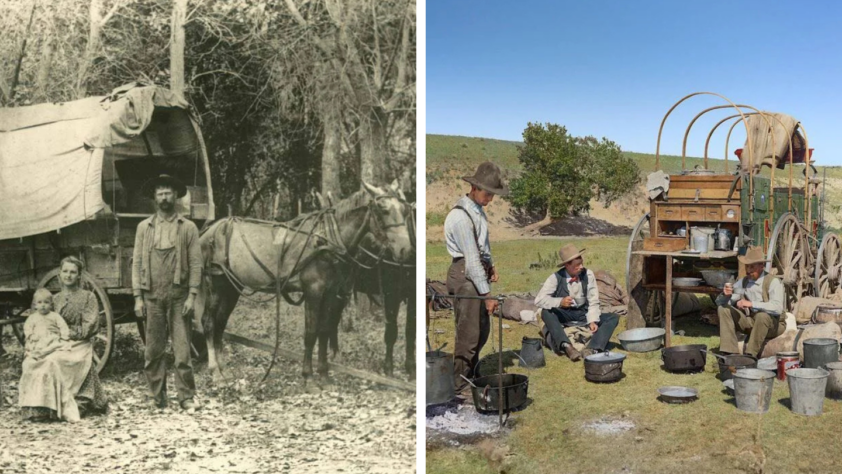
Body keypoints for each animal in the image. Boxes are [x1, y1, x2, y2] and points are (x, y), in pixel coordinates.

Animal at [194, 181, 410, 378]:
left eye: (404, 210)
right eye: (383, 209)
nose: (405, 249)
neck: (326, 240)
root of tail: (209, 229)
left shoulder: (330, 292)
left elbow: (324, 330)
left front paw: (323, 374)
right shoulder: (313, 291)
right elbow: (311, 332)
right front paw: (308, 376)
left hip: (231, 286)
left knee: (221, 321)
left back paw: (223, 368)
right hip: (216, 284)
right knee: (209, 322)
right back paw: (215, 371)